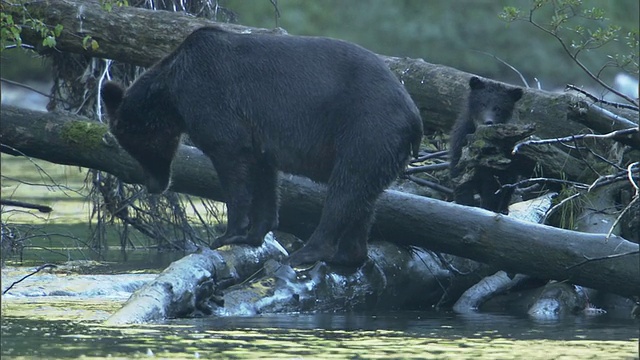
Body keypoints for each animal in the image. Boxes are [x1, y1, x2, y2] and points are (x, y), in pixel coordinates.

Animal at [102, 26, 422, 268]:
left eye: (134, 147)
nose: (154, 184)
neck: (171, 96)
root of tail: (413, 115)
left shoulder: (214, 103)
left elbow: (233, 168)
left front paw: (228, 234)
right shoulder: (259, 134)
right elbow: (264, 177)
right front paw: (255, 233)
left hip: (366, 128)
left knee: (345, 190)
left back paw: (307, 251)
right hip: (380, 145)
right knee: (364, 198)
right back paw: (348, 254)